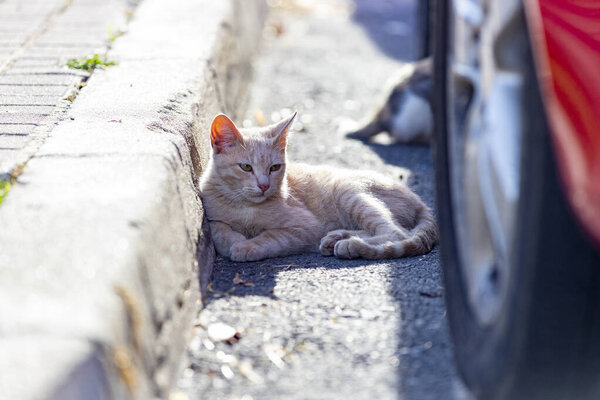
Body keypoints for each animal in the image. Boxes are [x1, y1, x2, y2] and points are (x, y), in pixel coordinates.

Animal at [199, 112, 438, 262]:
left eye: (274, 167)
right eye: (246, 167)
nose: (264, 185)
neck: (245, 207)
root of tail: (419, 201)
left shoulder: (305, 227)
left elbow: (272, 237)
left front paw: (246, 246)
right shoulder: (212, 215)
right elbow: (219, 230)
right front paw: (234, 240)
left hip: (347, 191)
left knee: (397, 232)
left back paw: (352, 245)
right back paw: (337, 237)